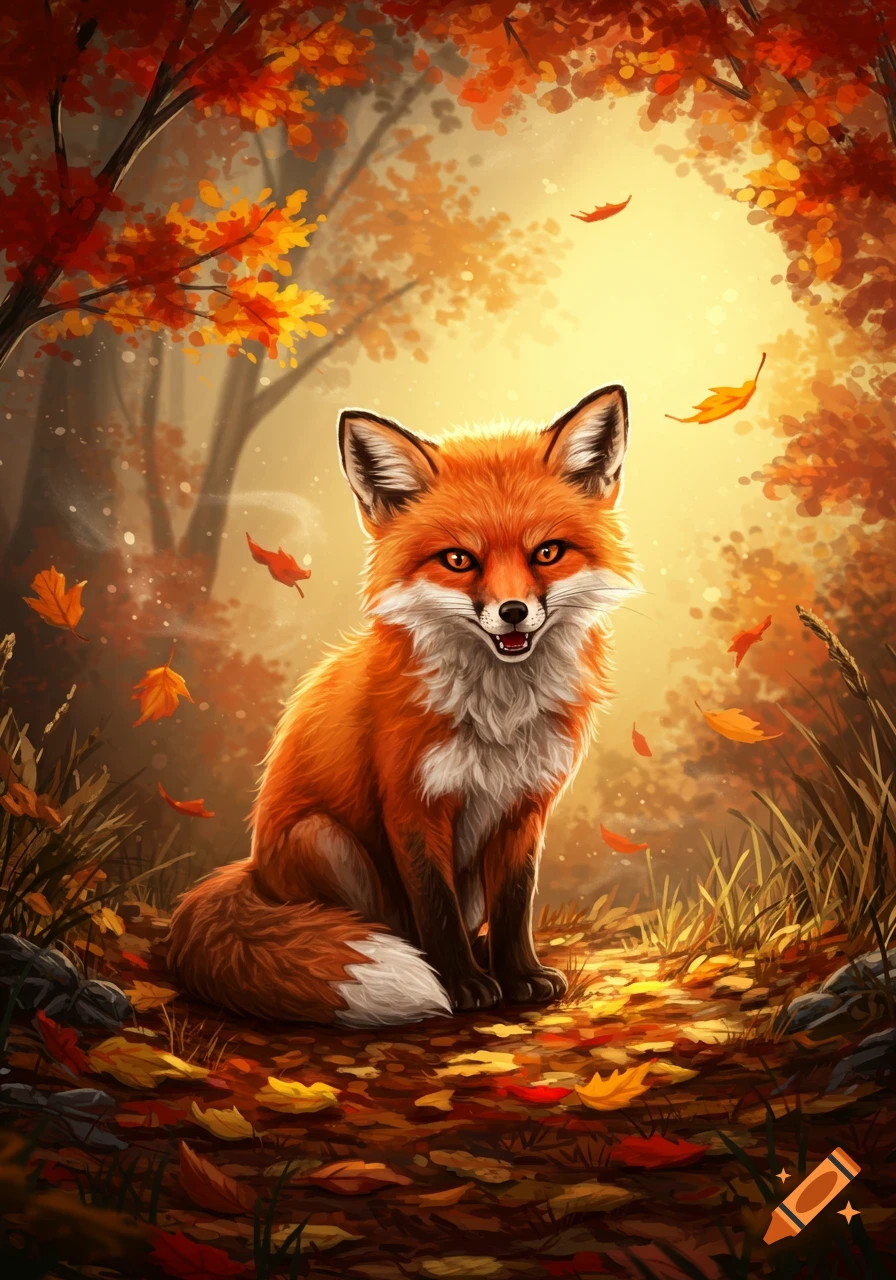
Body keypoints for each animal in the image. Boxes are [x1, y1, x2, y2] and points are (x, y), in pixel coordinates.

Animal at [167, 384, 637, 1026]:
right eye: (459, 559)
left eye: (547, 552)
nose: (514, 612)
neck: (498, 716)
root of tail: (254, 874)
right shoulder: (413, 801)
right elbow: (434, 907)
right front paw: (461, 984)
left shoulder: (524, 806)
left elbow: (515, 905)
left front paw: (518, 975)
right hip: (325, 840)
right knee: (385, 926)